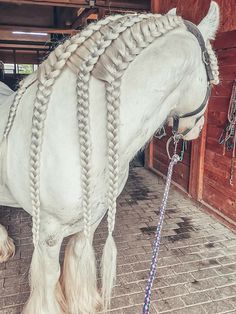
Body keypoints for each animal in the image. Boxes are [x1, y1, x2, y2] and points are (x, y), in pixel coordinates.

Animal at [0, 3, 219, 314]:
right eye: (214, 75)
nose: (196, 130)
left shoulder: (92, 218)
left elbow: (78, 256)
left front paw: (82, 304)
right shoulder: (48, 232)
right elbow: (49, 276)